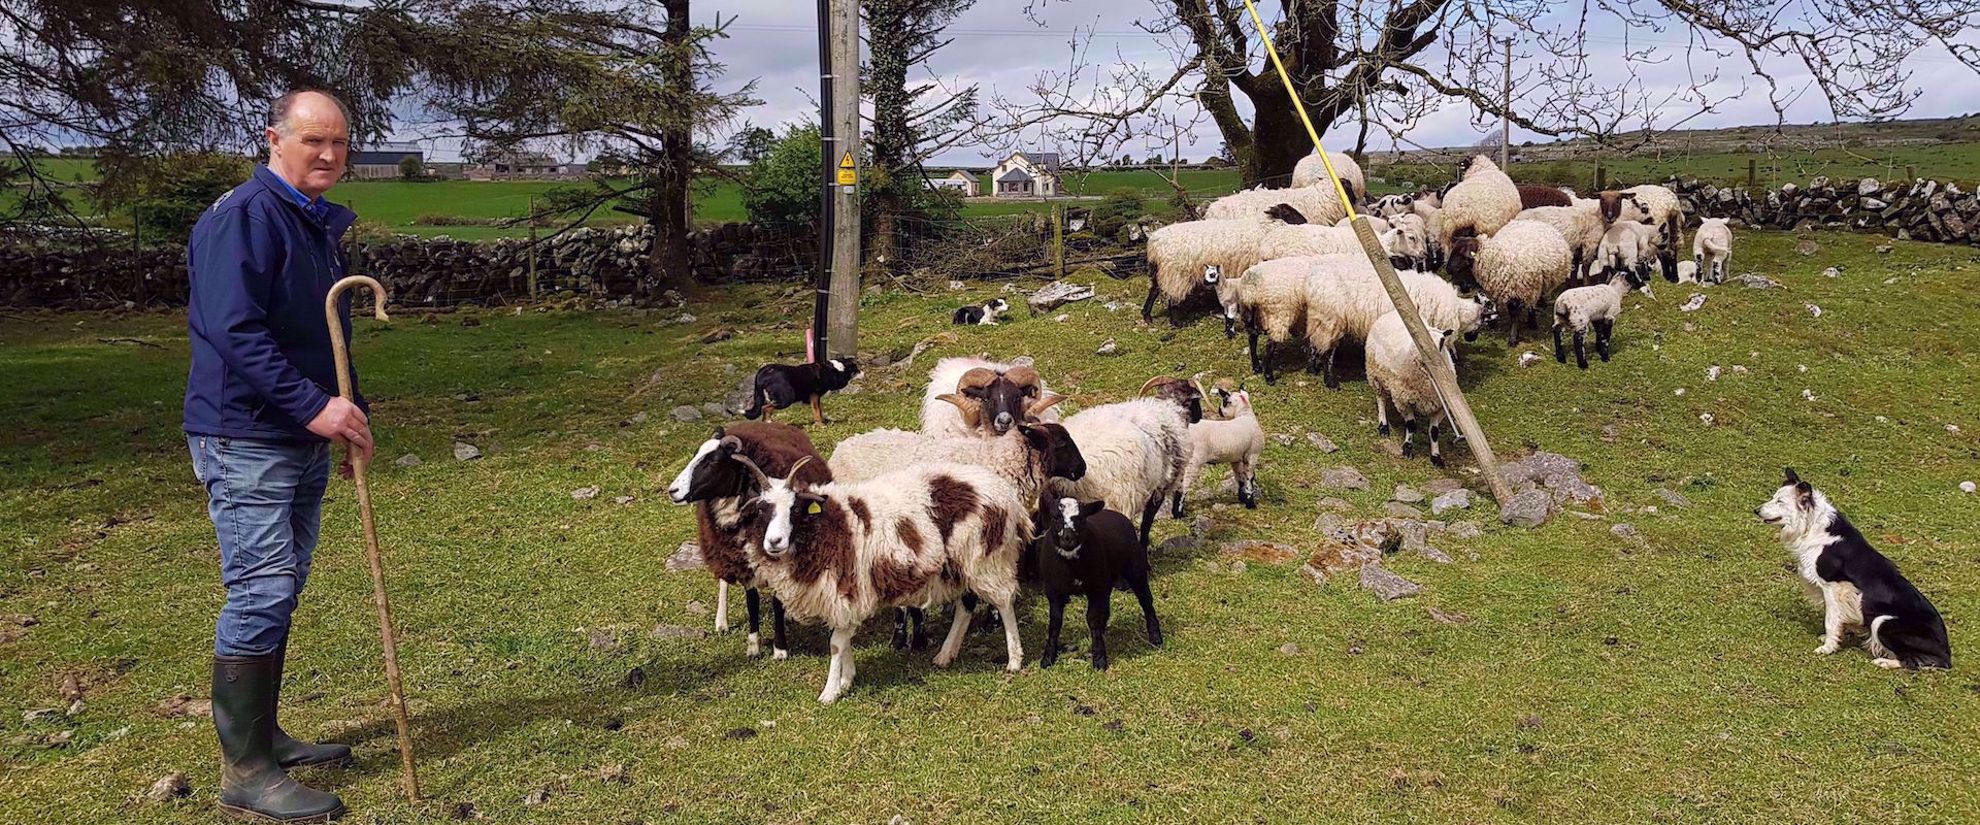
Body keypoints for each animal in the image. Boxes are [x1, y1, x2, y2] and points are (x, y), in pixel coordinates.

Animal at [1037, 494, 1156, 668]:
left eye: (1081, 519)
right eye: (1055, 517)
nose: (1068, 538)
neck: (1071, 564)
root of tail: (1116, 514)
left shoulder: (1095, 588)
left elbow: (1093, 619)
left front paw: (1099, 659)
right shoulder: (1054, 591)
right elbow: (1055, 623)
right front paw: (1047, 658)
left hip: (1135, 570)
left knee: (1146, 601)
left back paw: (1156, 638)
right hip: (1106, 580)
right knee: (1106, 609)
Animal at [1298, 253, 1488, 385]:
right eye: (1486, 318)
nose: (1472, 338)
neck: (1458, 311)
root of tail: (1312, 280)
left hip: (1319, 318)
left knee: (1313, 342)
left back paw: (1311, 368)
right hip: (1331, 318)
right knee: (1327, 349)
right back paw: (1330, 381)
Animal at [1370, 308, 1465, 466]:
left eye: (1442, 342)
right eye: (1420, 342)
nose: (1431, 359)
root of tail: (1392, 312)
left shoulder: (1440, 406)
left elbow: (1434, 431)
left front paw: (1436, 457)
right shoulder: (1404, 400)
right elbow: (1411, 425)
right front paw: (1407, 449)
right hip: (1376, 375)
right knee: (1381, 399)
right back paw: (1383, 426)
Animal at [1758, 466, 1956, 664]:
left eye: (1780, 501)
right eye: (1775, 497)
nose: (1756, 510)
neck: (1812, 526)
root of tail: (1946, 653)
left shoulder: (1833, 586)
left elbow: (1830, 620)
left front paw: (1828, 647)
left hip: (1883, 621)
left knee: (1911, 661)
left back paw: (1884, 662)